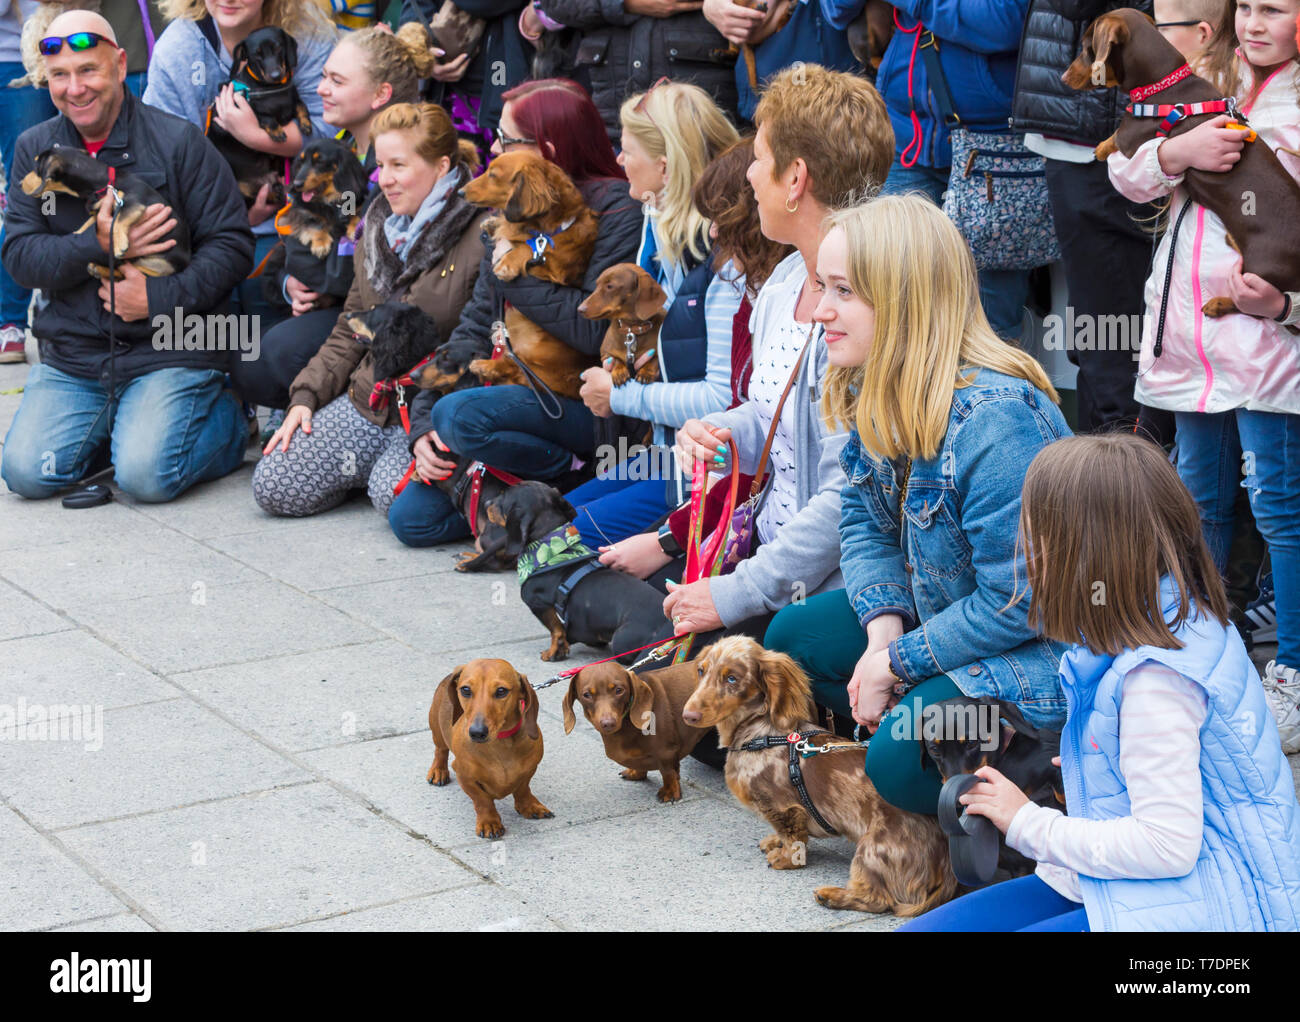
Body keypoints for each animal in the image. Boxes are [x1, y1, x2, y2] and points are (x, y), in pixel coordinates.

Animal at [20, 143, 191, 278]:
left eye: (36, 167)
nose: (19, 182)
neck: (100, 181)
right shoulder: (98, 212)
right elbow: (86, 224)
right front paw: (76, 234)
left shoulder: (133, 202)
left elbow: (119, 220)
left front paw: (119, 244)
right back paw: (97, 268)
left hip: (157, 266)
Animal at [205, 25, 312, 206]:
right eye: (257, 55)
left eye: (278, 48)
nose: (276, 75)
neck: (272, 89)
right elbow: (264, 116)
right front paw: (276, 131)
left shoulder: (293, 100)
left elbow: (301, 106)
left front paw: (306, 124)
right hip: (241, 188)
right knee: (258, 197)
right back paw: (275, 194)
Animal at [488, 481, 670, 660]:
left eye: (503, 497)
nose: (486, 502)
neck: (552, 549)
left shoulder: (538, 603)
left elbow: (556, 630)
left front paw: (553, 652)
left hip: (622, 641)